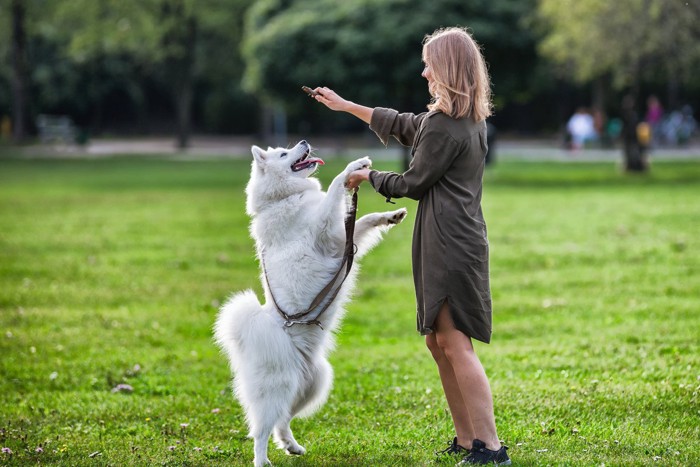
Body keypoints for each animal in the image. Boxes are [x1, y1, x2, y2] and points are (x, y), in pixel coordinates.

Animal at [216, 141, 408, 466]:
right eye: (283, 154)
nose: (304, 143)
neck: (284, 197)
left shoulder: (342, 240)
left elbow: (362, 220)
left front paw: (390, 215)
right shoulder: (325, 230)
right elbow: (335, 188)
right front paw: (354, 166)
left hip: (313, 386)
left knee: (282, 420)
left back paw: (292, 446)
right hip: (277, 389)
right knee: (261, 429)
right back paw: (262, 460)